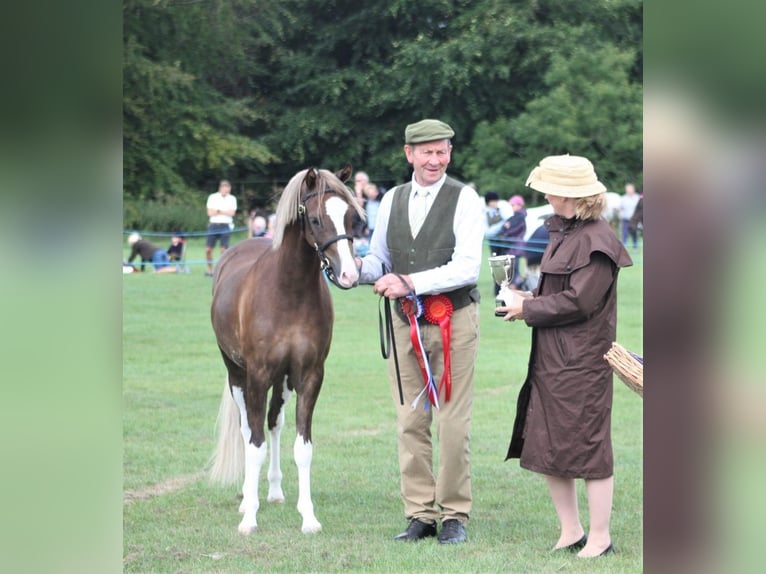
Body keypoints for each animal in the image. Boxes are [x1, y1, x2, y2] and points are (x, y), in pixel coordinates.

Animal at [210, 166, 366, 536]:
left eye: (351, 217)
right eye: (316, 218)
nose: (349, 274)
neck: (289, 292)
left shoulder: (308, 376)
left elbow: (302, 447)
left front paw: (308, 517)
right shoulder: (257, 375)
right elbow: (254, 446)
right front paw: (249, 518)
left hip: (282, 382)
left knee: (274, 423)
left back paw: (275, 491)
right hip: (237, 374)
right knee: (248, 429)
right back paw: (246, 499)